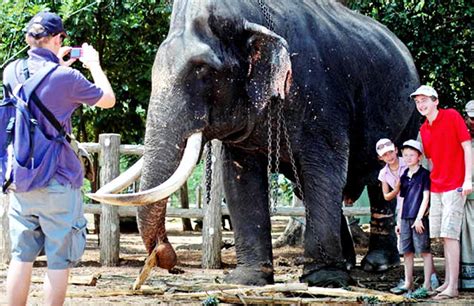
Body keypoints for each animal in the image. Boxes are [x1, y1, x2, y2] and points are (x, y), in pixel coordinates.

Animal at [90, 0, 420, 286]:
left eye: (203, 70)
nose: (165, 254)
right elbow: (240, 178)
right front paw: (246, 280)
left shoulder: (322, 98)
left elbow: (324, 169)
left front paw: (324, 280)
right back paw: (350, 263)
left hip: (409, 116)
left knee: (378, 177)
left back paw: (377, 264)